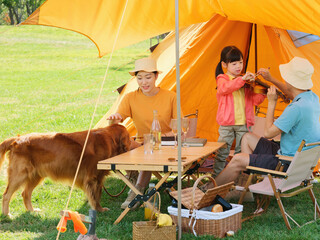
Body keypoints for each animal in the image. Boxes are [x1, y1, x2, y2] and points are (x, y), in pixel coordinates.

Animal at [0, 124, 131, 216]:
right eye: (130, 138)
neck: (109, 139)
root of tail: (16, 139)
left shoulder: (98, 179)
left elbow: (97, 195)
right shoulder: (92, 178)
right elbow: (95, 197)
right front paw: (99, 210)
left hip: (36, 175)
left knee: (26, 193)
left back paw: (32, 211)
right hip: (20, 174)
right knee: (6, 195)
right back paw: (7, 215)